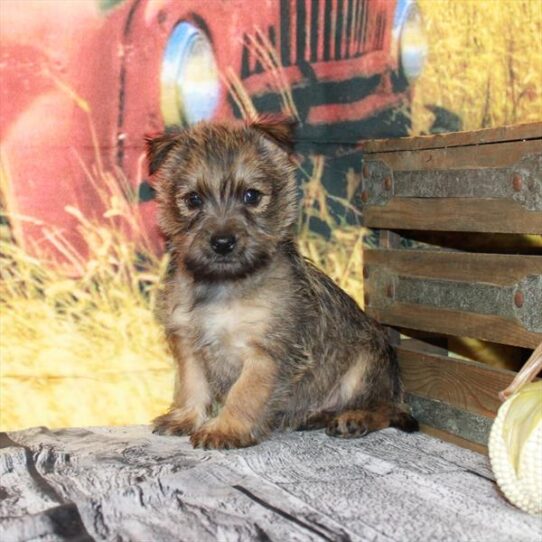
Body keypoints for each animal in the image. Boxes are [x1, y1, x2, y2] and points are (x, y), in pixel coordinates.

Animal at [144, 119, 416, 450]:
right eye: (193, 200)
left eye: (251, 196)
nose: (222, 243)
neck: (225, 285)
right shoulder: (187, 342)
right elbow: (192, 384)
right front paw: (185, 418)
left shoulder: (268, 352)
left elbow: (244, 394)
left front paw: (225, 428)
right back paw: (317, 416)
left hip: (366, 367)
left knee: (385, 408)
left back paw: (353, 418)